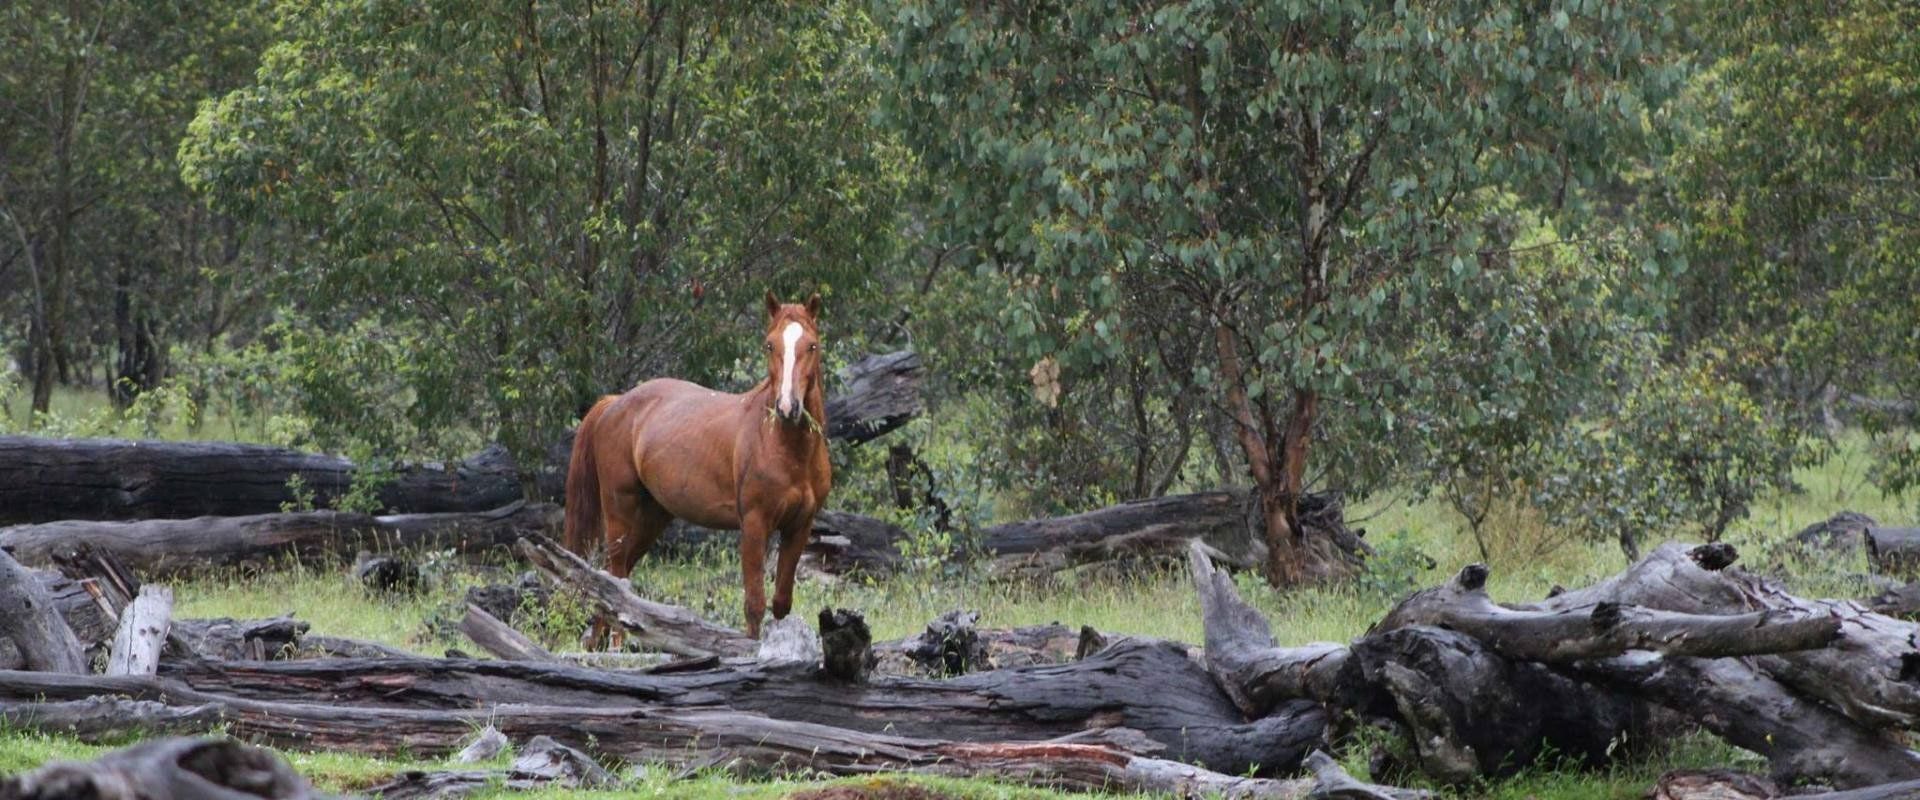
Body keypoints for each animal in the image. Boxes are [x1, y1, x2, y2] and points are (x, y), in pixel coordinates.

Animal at [564, 290, 831, 639]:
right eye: (769, 345)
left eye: (812, 346)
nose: (788, 407)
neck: (785, 447)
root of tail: (614, 403)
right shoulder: (754, 524)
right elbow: (754, 604)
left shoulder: (799, 526)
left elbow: (781, 603)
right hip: (619, 508)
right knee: (616, 574)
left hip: (654, 515)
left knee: (614, 575)